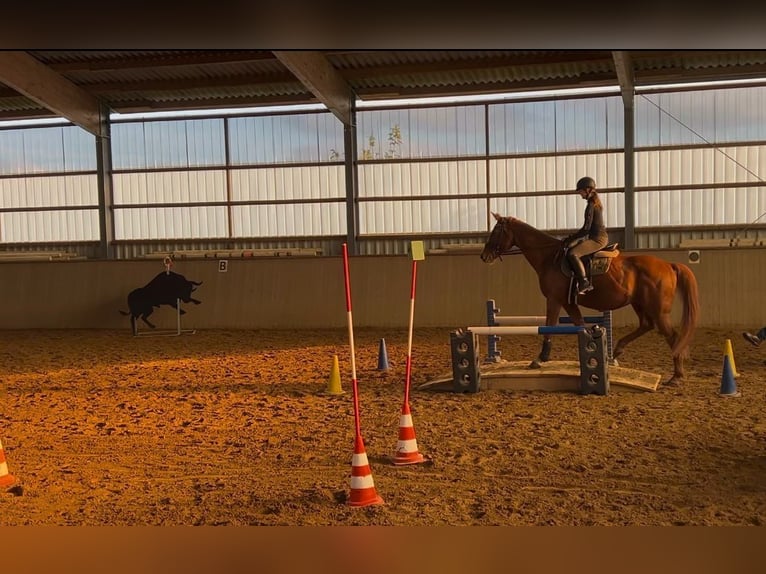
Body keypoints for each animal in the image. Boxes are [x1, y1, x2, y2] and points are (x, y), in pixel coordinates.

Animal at [480, 213, 704, 388]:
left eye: (496, 231)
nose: (484, 256)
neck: (549, 257)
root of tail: (668, 265)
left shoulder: (554, 299)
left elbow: (549, 326)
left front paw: (540, 359)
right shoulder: (569, 303)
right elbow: (580, 325)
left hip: (658, 310)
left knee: (672, 337)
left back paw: (676, 377)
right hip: (639, 304)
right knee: (647, 325)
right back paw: (617, 350)